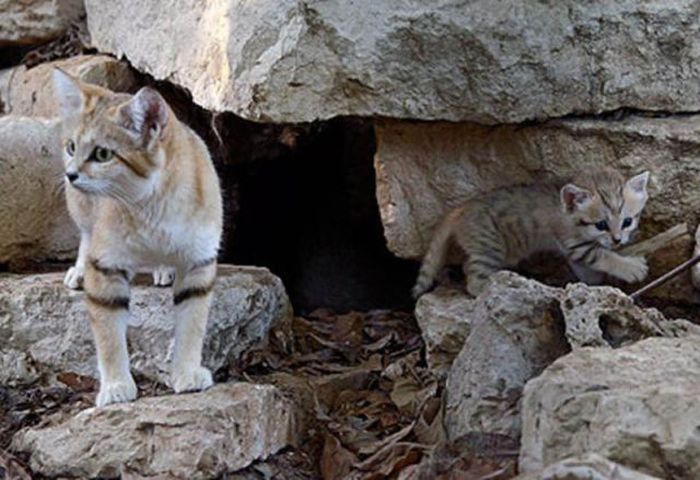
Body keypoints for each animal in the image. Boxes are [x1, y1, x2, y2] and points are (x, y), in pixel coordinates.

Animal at [53, 69, 223, 406]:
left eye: (102, 153)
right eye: (72, 147)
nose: (70, 174)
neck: (154, 205)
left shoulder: (199, 263)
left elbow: (193, 325)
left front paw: (187, 373)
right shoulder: (107, 264)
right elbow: (109, 336)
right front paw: (116, 386)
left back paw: (163, 269)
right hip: (80, 207)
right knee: (85, 234)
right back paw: (78, 270)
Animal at [416, 169, 652, 296]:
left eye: (627, 221)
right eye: (601, 225)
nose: (618, 240)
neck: (568, 215)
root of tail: (460, 209)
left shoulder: (571, 250)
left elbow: (586, 270)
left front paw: (594, 285)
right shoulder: (575, 244)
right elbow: (603, 256)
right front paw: (632, 268)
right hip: (490, 247)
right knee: (474, 280)